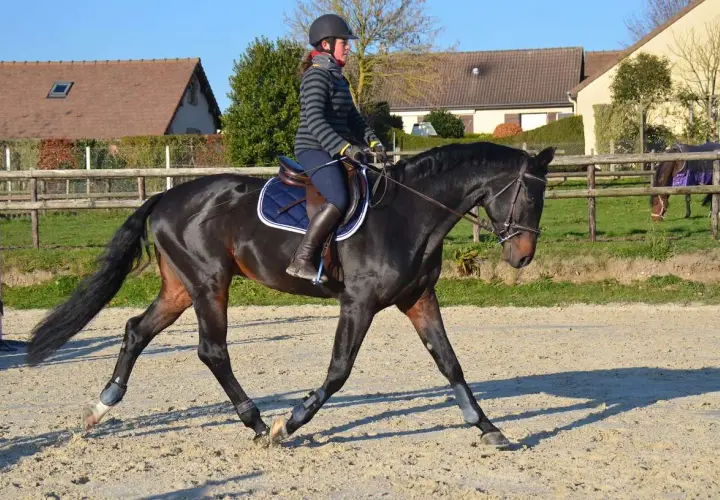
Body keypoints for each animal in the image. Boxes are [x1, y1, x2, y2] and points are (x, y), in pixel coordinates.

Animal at [26, 142, 555, 448]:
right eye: (530, 195)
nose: (524, 257)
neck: (409, 214)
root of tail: (164, 197)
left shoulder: (419, 298)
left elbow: (450, 364)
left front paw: (488, 428)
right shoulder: (359, 303)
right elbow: (338, 372)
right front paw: (290, 424)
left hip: (180, 288)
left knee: (137, 331)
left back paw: (101, 408)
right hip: (209, 283)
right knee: (212, 351)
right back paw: (259, 424)